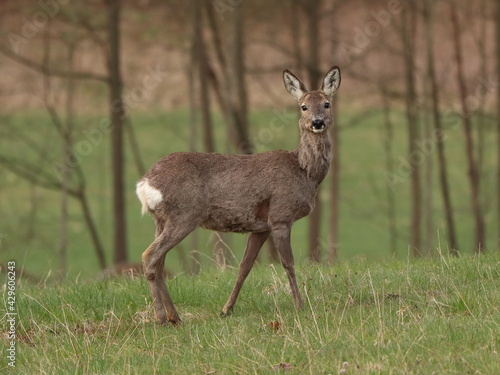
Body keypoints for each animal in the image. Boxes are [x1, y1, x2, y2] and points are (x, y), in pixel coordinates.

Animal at [136, 66, 340, 324]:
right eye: (303, 106)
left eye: (326, 103)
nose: (317, 122)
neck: (304, 172)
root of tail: (145, 184)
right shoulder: (281, 216)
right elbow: (289, 264)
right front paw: (300, 306)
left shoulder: (261, 227)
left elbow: (245, 266)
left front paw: (226, 309)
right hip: (185, 215)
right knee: (150, 256)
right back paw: (162, 318)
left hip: (161, 220)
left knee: (159, 261)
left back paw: (176, 317)